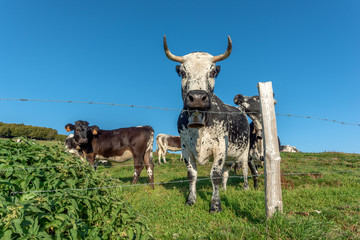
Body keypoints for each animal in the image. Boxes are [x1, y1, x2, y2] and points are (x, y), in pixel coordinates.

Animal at [163, 35, 258, 212]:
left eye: (213, 72)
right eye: (183, 72)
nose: (197, 98)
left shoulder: (220, 146)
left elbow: (215, 175)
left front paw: (215, 205)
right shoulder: (185, 147)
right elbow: (192, 175)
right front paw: (191, 200)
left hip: (244, 152)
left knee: (244, 170)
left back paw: (246, 188)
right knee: (226, 171)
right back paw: (225, 189)